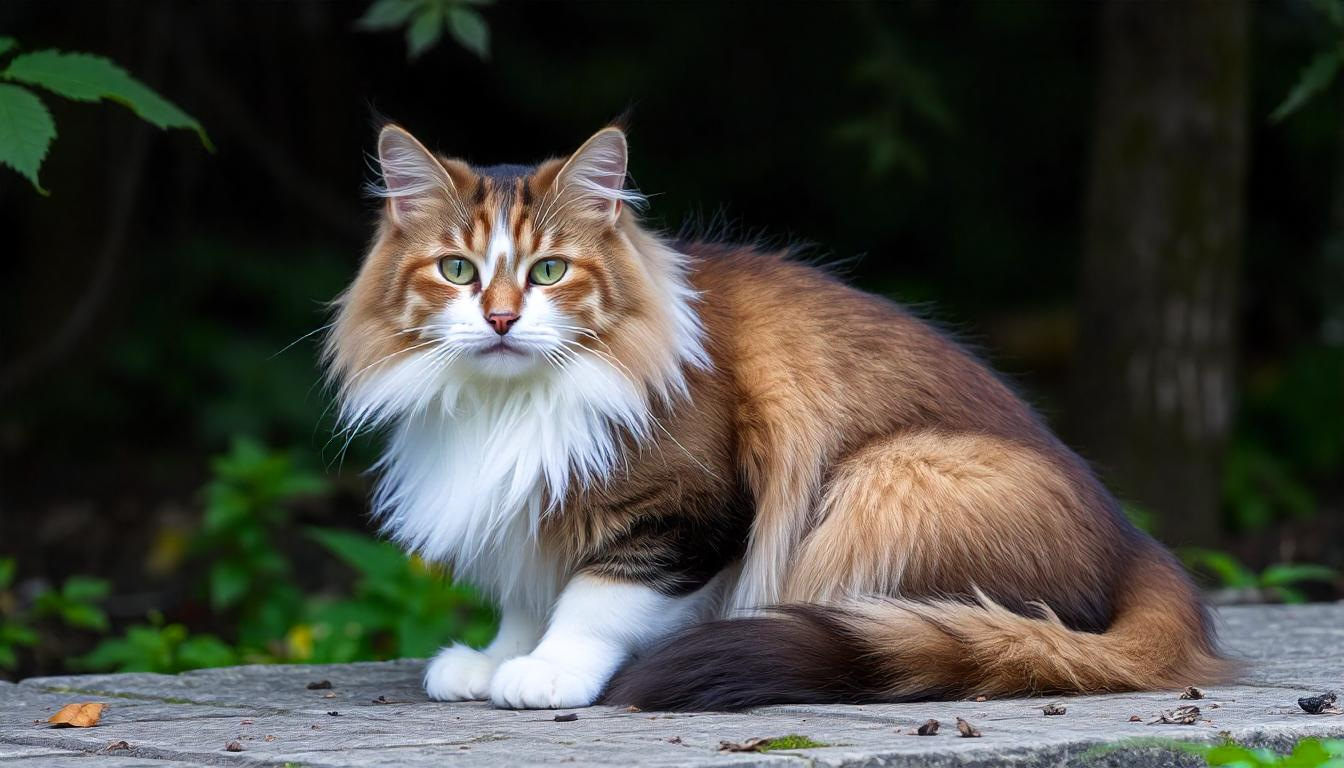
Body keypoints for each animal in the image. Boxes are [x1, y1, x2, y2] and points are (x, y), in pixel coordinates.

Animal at [322, 124, 1231, 710]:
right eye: (457, 270)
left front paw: (548, 672)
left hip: (887, 478)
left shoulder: (688, 513)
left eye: (549, 271)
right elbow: (527, 595)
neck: (508, 407)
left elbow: (595, 598)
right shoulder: (528, 511)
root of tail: (1139, 546)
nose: (503, 318)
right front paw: (496, 658)